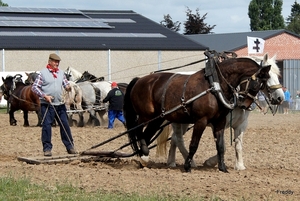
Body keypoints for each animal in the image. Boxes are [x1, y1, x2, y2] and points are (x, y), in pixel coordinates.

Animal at [123, 50, 270, 173]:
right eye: (257, 85)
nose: (244, 104)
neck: (215, 84)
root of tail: (139, 79)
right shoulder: (201, 120)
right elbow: (194, 144)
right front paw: (187, 166)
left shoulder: (220, 121)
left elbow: (220, 145)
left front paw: (222, 168)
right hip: (146, 115)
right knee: (137, 130)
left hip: (158, 118)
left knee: (146, 135)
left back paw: (143, 158)